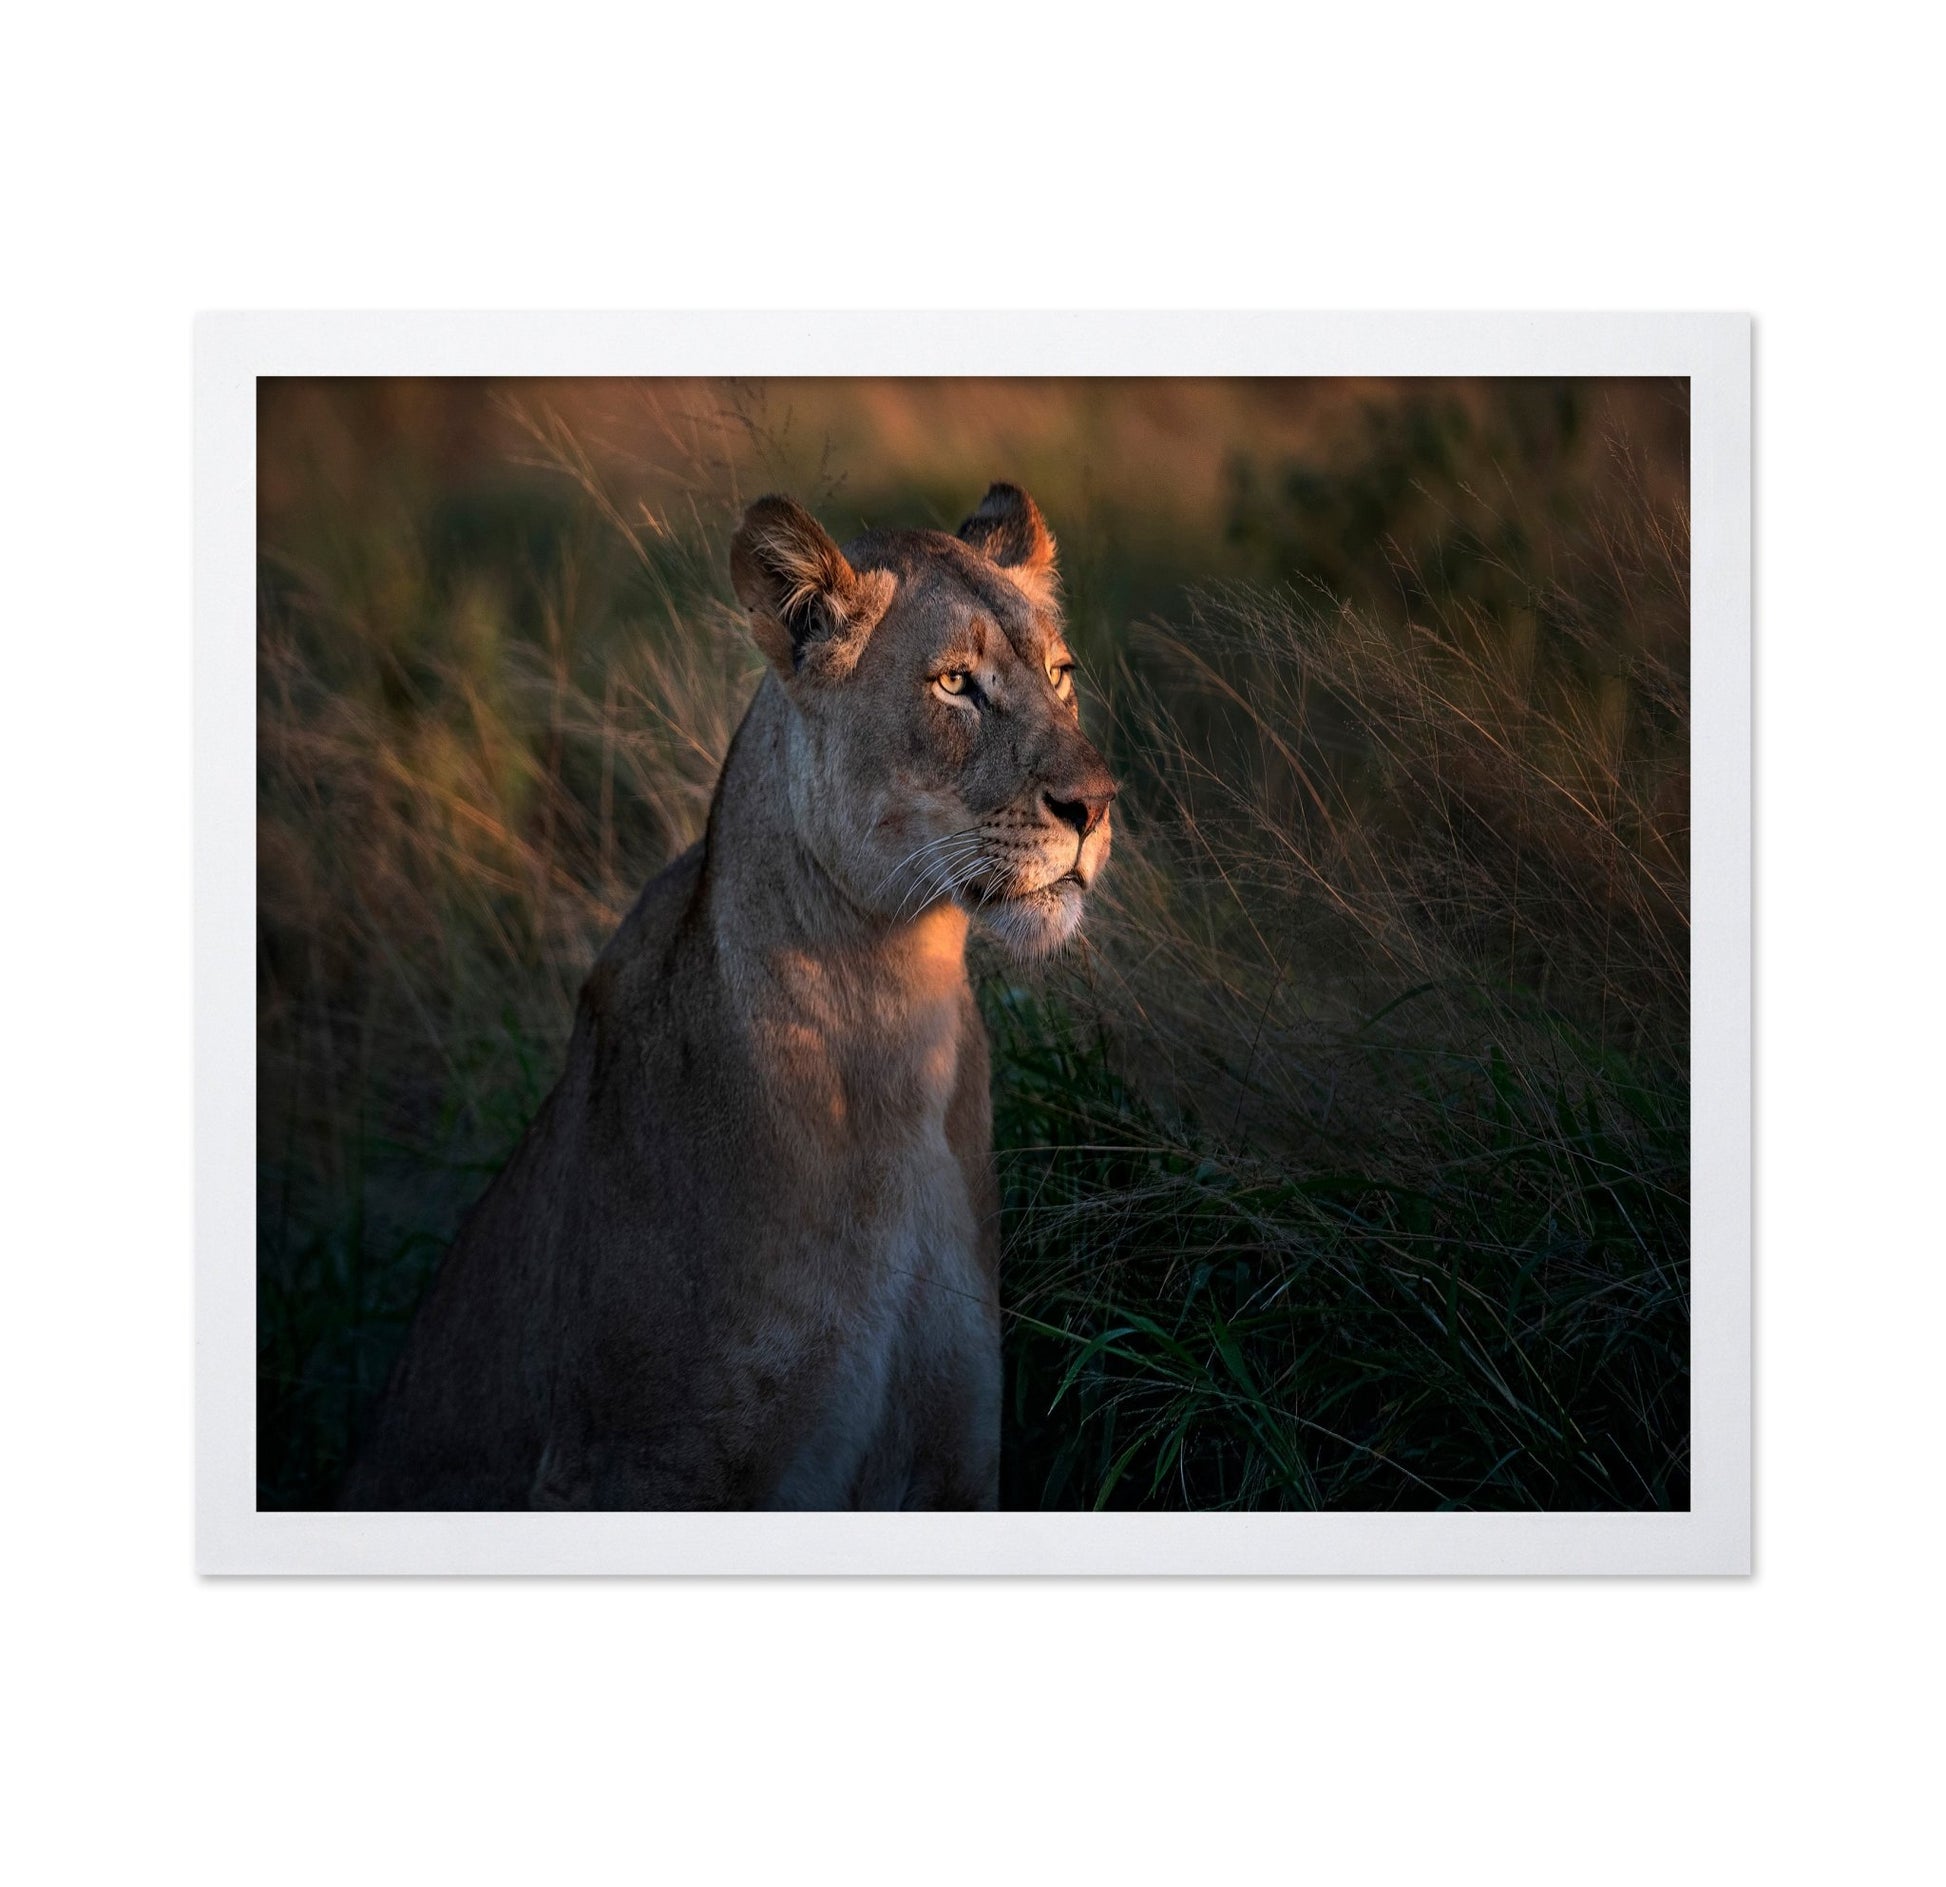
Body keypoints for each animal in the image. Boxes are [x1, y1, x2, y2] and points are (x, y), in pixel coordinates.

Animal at [340, 483, 1117, 1511]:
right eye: (955, 683)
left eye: (1061, 674)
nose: (1097, 804)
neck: (896, 1006)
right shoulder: (644, 1466)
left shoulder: (956, 1446)